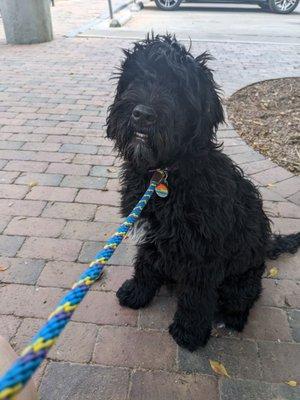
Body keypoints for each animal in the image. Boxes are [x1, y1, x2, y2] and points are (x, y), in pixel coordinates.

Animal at [107, 36, 300, 352]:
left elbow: (196, 296)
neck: (165, 174)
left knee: (244, 299)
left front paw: (190, 332)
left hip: (240, 279)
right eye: (138, 77)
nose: (142, 114)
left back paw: (233, 318)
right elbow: (145, 263)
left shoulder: (203, 252)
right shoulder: (154, 234)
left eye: (177, 88)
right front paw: (137, 292)